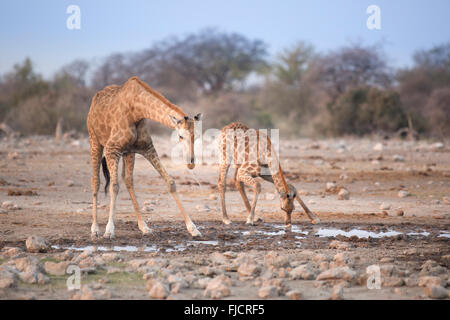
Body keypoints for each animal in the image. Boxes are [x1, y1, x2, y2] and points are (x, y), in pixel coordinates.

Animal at [86, 76, 202, 239]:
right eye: (180, 136)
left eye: (196, 136)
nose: (191, 163)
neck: (137, 110)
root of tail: (94, 101)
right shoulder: (112, 149)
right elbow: (114, 187)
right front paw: (109, 231)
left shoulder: (146, 147)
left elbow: (170, 182)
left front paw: (193, 228)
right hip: (95, 141)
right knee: (95, 181)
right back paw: (95, 229)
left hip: (128, 153)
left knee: (128, 180)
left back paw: (144, 227)